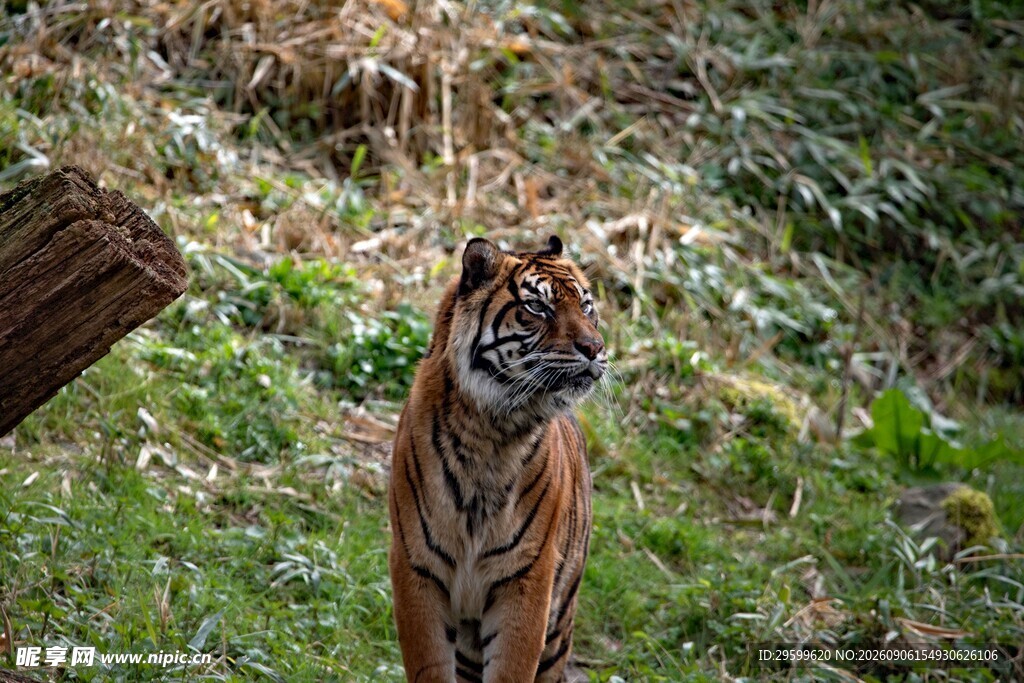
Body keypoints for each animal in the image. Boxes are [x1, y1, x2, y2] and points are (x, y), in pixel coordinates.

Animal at [388, 235, 606, 682]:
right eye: (538, 307)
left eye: (587, 305)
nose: (595, 348)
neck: (491, 433)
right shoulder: (416, 570)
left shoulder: (527, 581)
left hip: (559, 628)